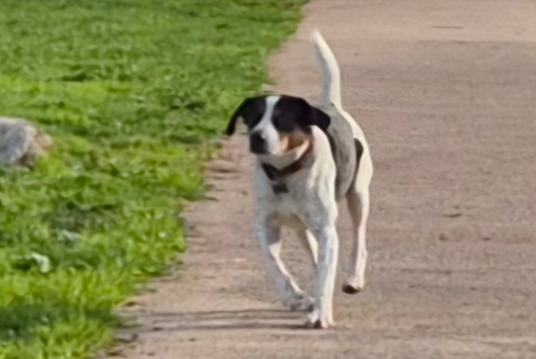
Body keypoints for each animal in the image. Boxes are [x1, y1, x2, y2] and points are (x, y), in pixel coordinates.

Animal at [224, 30, 370, 330]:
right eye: (252, 118)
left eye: (282, 119)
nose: (257, 137)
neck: (286, 173)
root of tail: (333, 106)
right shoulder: (267, 226)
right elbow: (274, 264)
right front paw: (294, 296)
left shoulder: (326, 229)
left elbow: (325, 275)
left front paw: (321, 314)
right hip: (302, 226)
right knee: (314, 252)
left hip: (359, 196)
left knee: (358, 239)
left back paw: (353, 278)